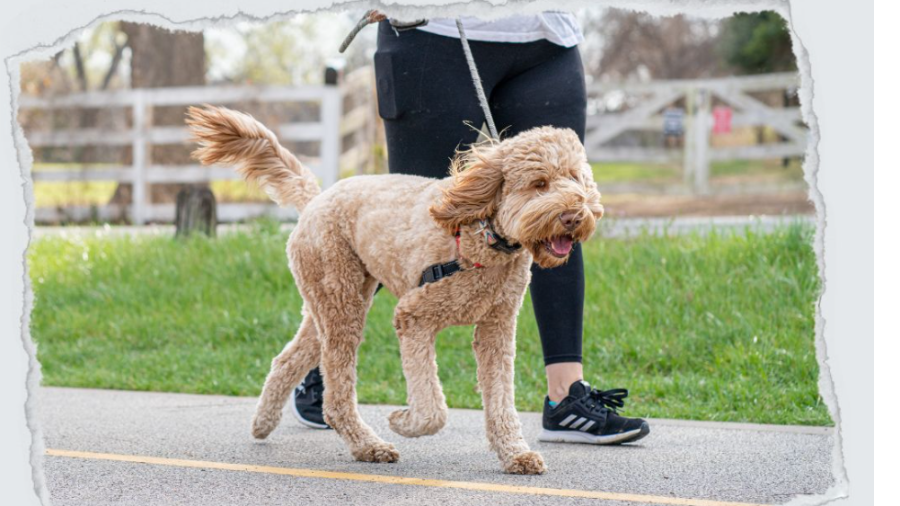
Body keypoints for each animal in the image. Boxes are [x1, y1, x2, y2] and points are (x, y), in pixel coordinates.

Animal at [184, 105, 604, 474]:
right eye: (539, 184)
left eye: (576, 178)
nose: (575, 215)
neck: (482, 235)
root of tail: (317, 198)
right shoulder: (413, 317)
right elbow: (433, 409)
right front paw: (404, 421)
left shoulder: (496, 330)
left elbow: (501, 401)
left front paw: (515, 454)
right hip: (341, 302)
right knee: (336, 396)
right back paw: (368, 445)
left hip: (333, 302)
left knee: (287, 360)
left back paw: (263, 422)